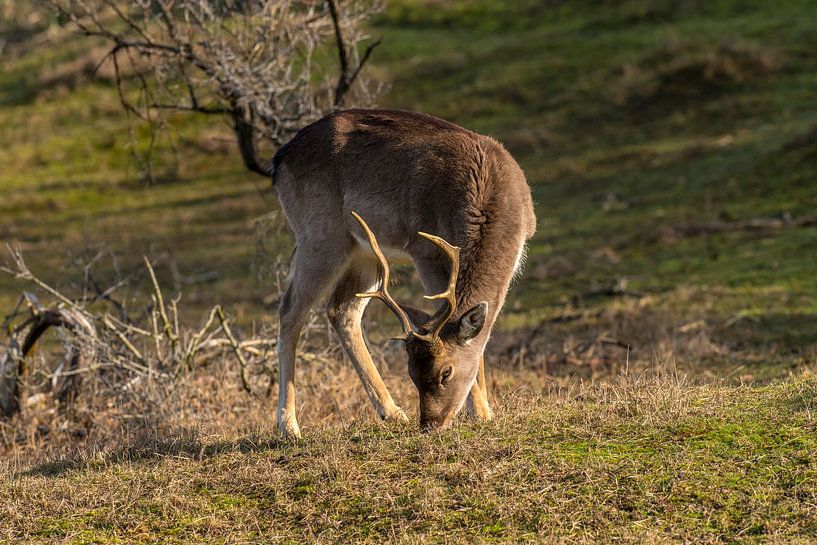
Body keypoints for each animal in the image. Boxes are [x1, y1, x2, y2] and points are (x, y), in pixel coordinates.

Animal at [270, 109, 536, 438]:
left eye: (445, 372)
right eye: (412, 373)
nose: (430, 424)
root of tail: (279, 160)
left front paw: (484, 411)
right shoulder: (426, 249)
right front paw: (481, 413)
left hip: (364, 250)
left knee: (341, 310)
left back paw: (392, 412)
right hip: (320, 235)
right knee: (290, 309)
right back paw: (288, 425)